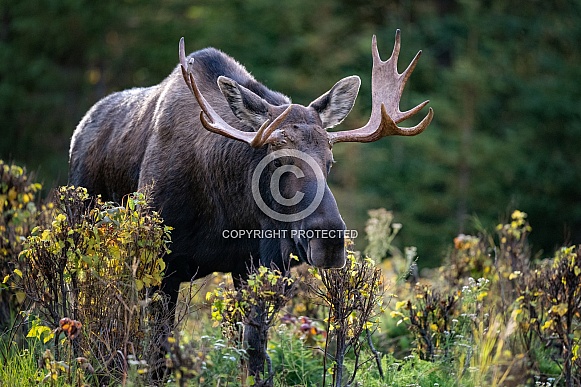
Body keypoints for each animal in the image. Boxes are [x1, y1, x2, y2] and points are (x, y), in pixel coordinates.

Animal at [67, 30, 430, 382]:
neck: (227, 209)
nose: (328, 241)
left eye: (330, 161)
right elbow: (158, 351)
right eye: (277, 159)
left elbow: (254, 349)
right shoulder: (160, 265)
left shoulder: (257, 266)